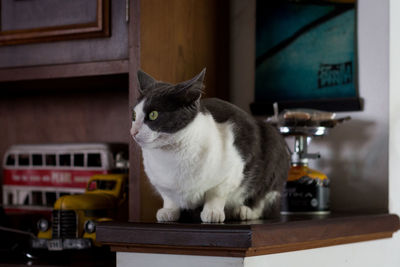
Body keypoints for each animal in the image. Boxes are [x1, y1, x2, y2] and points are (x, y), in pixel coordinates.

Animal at [130, 69, 290, 224]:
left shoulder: (232, 170)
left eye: (153, 115)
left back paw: (243, 211)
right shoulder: (161, 184)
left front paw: (213, 212)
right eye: (134, 116)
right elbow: (169, 198)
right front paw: (169, 211)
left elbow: (216, 193)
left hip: (274, 146)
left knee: (262, 201)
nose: (133, 132)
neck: (170, 156)